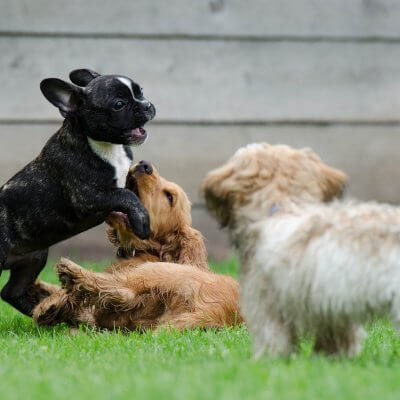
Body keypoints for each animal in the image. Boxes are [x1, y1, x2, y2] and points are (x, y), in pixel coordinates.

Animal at [33, 162, 241, 332]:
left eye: (170, 197)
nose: (144, 164)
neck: (150, 250)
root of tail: (217, 313)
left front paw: (50, 302)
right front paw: (42, 288)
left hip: (159, 272)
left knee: (122, 290)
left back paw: (69, 274)